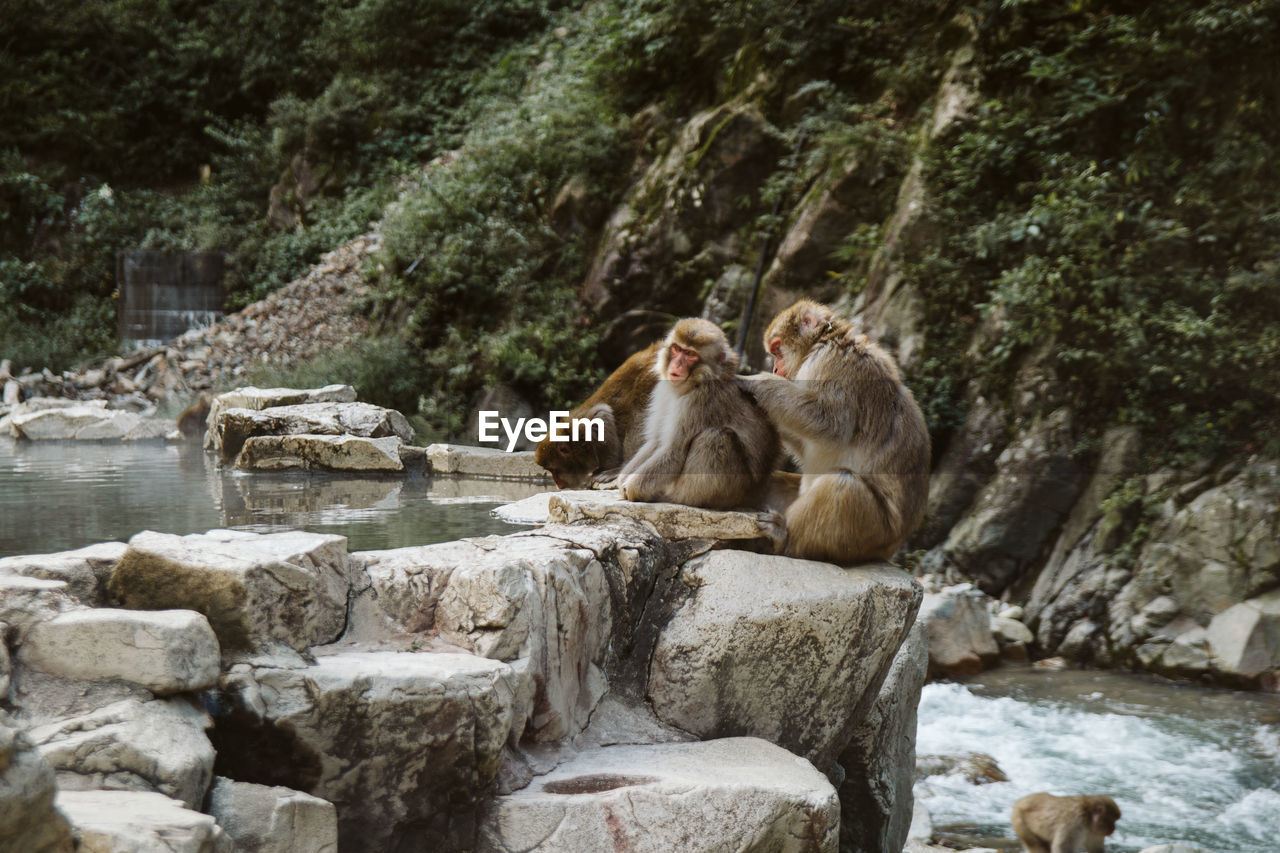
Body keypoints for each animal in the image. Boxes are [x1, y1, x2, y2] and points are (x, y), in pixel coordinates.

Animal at [535, 338, 665, 484]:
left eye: (553, 470)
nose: (557, 483)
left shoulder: (582, 431)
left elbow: (601, 415)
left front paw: (610, 469)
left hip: (651, 378)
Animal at [614, 315, 773, 507]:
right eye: (677, 349)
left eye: (690, 354)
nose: (676, 365)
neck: (693, 383)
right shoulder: (663, 391)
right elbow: (656, 441)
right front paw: (621, 479)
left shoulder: (699, 401)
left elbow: (673, 451)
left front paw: (630, 489)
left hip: (731, 490)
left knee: (716, 437)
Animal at [742, 298, 931, 563]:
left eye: (777, 349)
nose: (776, 370)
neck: (825, 340)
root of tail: (892, 546)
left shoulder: (834, 363)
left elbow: (831, 424)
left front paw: (757, 383)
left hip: (869, 535)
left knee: (843, 485)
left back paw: (783, 539)